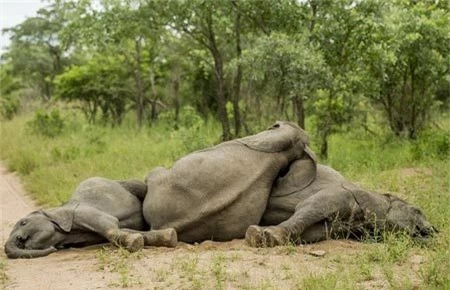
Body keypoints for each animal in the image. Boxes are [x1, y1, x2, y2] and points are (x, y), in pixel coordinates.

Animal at [5, 178, 178, 260]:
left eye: (23, 222)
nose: (20, 240)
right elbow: (124, 230)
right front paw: (168, 236)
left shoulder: (82, 212)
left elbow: (111, 226)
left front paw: (135, 243)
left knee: (141, 187)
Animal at [244, 156, 438, 247]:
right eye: (417, 211)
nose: (434, 230)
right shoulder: (340, 194)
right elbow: (308, 209)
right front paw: (260, 235)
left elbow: (313, 232)